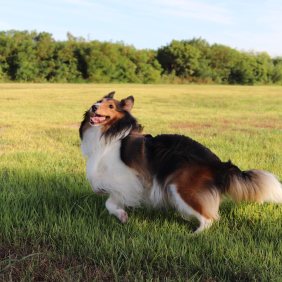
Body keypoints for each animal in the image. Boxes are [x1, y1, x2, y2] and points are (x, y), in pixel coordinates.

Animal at [79, 92, 282, 234]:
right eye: (98, 101)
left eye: (111, 105)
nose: (93, 106)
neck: (110, 132)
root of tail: (220, 165)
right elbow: (106, 196)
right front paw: (121, 215)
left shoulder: (128, 177)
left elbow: (106, 188)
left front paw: (117, 208)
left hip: (182, 188)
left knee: (209, 219)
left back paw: (192, 236)